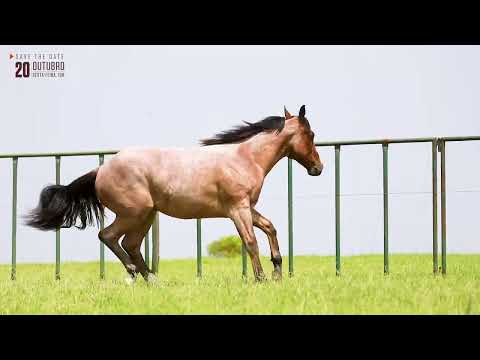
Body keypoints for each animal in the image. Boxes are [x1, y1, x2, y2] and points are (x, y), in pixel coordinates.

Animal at [25, 105, 322, 282]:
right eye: (311, 134)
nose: (318, 168)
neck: (244, 159)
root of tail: (100, 170)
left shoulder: (248, 207)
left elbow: (270, 227)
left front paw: (277, 271)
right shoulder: (237, 209)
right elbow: (250, 241)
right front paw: (261, 278)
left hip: (145, 215)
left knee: (130, 244)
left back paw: (152, 279)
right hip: (134, 213)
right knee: (108, 236)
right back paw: (136, 274)